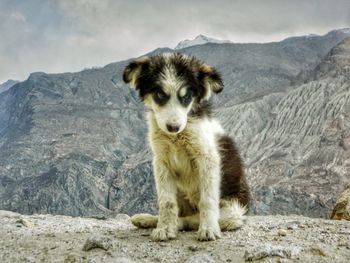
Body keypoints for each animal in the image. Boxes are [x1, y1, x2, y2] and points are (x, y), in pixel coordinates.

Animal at [123, 53, 249, 241]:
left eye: (186, 97)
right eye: (159, 94)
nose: (173, 127)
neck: (177, 137)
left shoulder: (207, 157)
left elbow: (207, 200)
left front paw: (208, 228)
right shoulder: (161, 160)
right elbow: (166, 201)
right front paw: (164, 228)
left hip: (234, 211)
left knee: (193, 219)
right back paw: (150, 220)